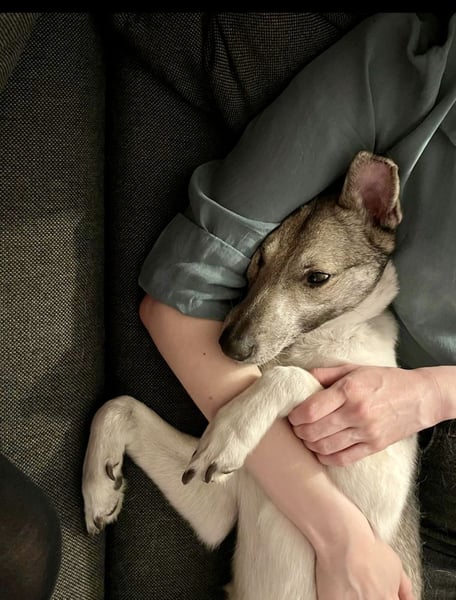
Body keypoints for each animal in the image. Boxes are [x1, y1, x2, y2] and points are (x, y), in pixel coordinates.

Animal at [82, 151, 422, 599]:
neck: (312, 344)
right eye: (258, 261)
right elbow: (118, 406)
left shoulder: (375, 498)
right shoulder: (217, 505)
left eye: (317, 278)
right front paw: (98, 488)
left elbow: (290, 378)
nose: (228, 347)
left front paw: (230, 431)